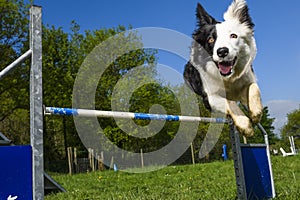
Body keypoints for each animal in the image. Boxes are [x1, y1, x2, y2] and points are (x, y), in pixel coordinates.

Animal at [184, 0, 262, 136]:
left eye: (233, 36)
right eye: (211, 39)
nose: (222, 51)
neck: (228, 78)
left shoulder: (247, 79)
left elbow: (254, 87)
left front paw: (256, 113)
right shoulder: (209, 98)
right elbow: (229, 102)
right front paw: (245, 125)